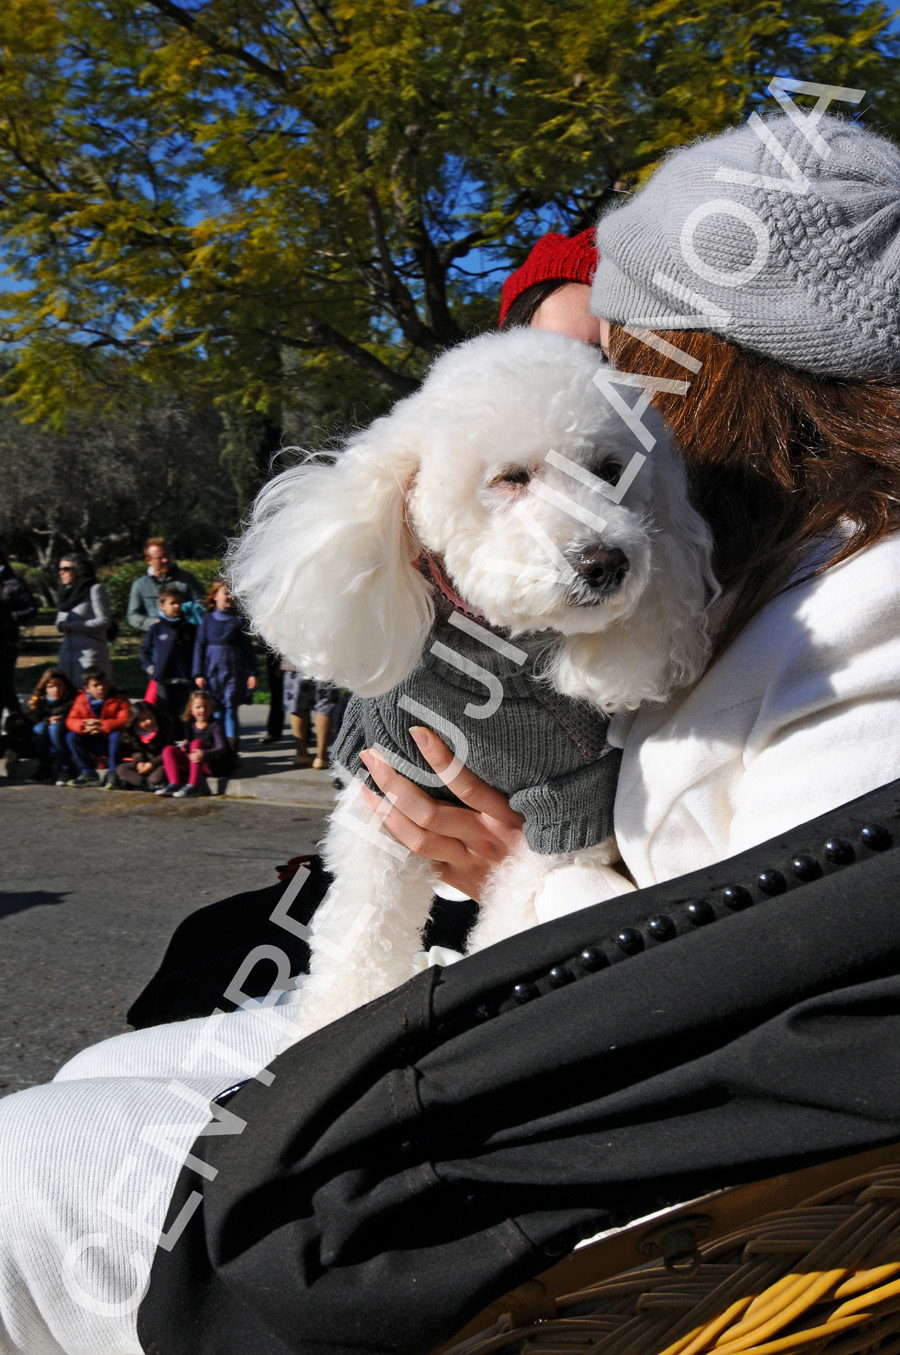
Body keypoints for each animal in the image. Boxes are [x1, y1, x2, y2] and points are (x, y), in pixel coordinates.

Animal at [226, 327, 715, 1035]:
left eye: (608, 471)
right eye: (511, 478)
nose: (606, 562)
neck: (491, 667)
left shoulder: (569, 804)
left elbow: (517, 920)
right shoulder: (385, 783)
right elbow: (362, 926)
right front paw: (342, 1015)